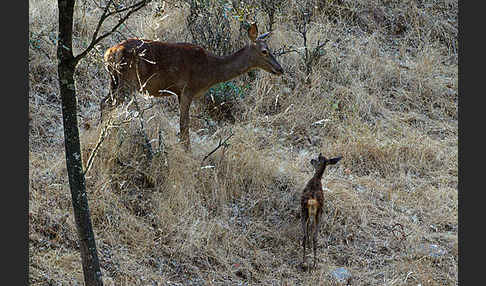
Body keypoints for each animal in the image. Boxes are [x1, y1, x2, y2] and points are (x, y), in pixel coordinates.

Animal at [102, 23, 284, 152]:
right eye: (265, 51)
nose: (280, 69)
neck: (211, 71)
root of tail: (110, 52)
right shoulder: (188, 89)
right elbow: (184, 124)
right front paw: (188, 151)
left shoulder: (178, 93)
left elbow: (183, 124)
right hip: (127, 81)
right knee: (108, 104)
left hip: (114, 81)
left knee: (104, 102)